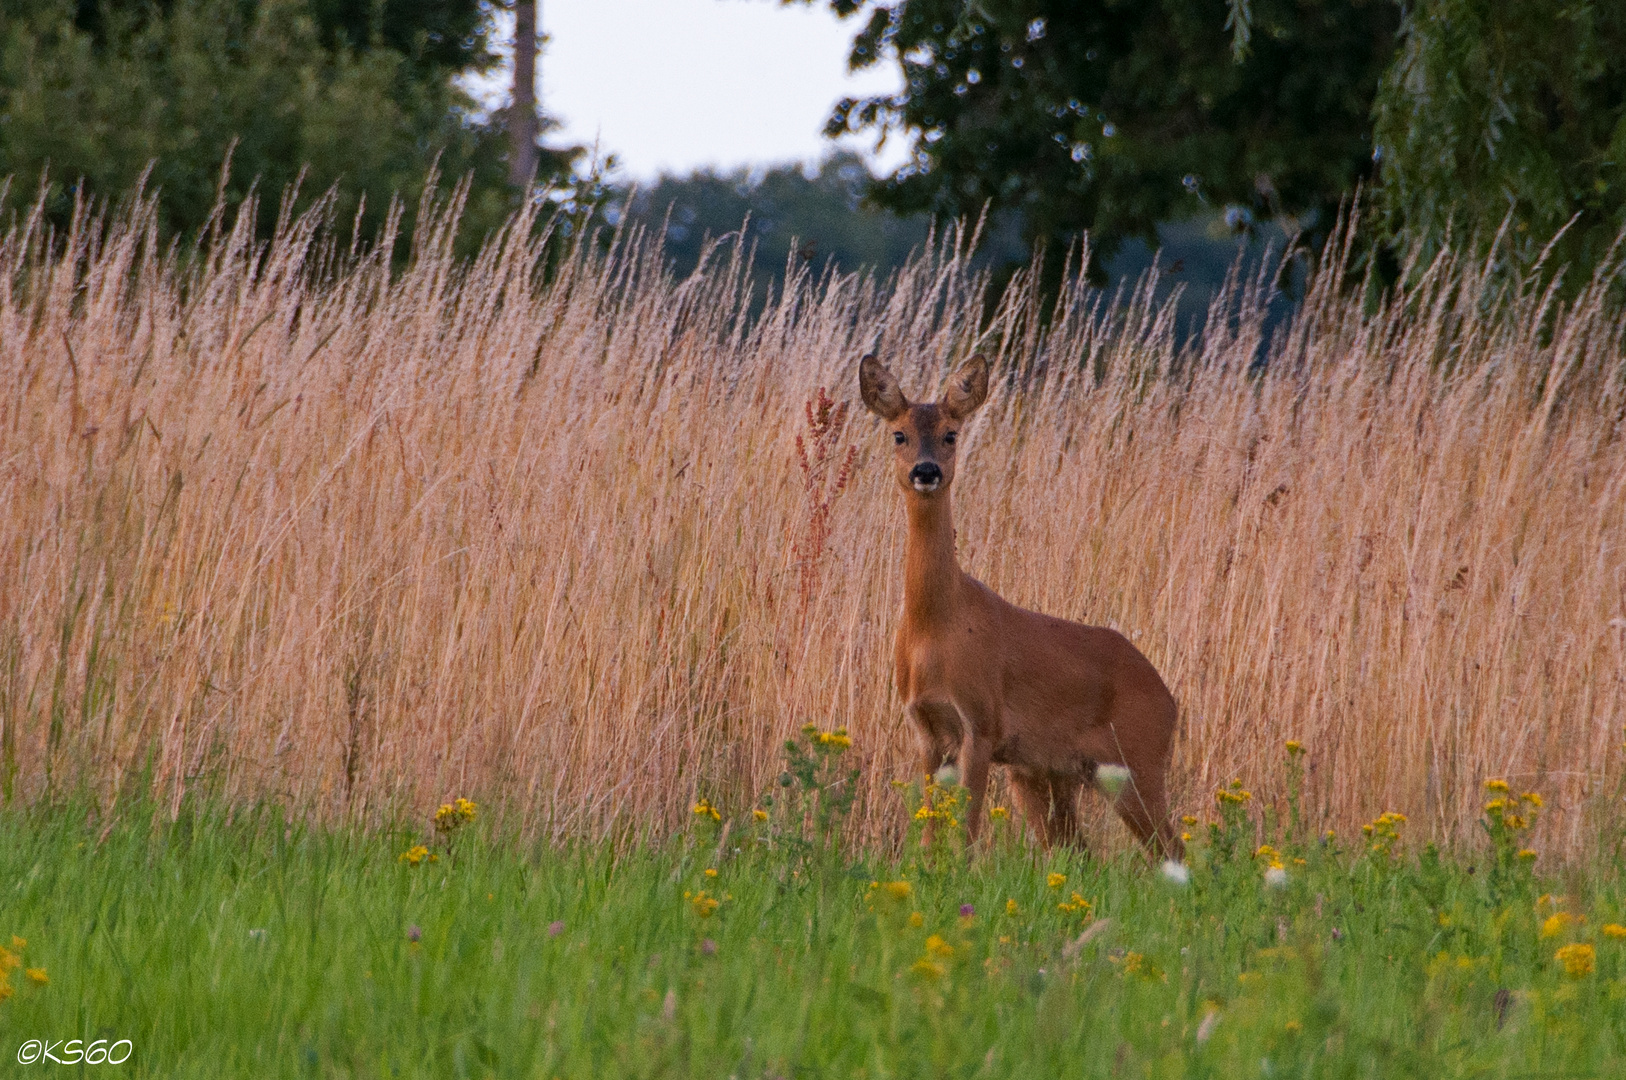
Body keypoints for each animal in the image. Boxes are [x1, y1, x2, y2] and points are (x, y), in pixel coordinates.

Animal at [858, 354, 1190, 858]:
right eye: (898, 434)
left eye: (951, 433)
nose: (926, 471)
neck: (933, 628)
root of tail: (1169, 701)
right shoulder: (926, 728)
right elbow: (931, 834)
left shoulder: (981, 721)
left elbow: (967, 832)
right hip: (1047, 772)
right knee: (1079, 850)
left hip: (1138, 760)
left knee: (1172, 849)